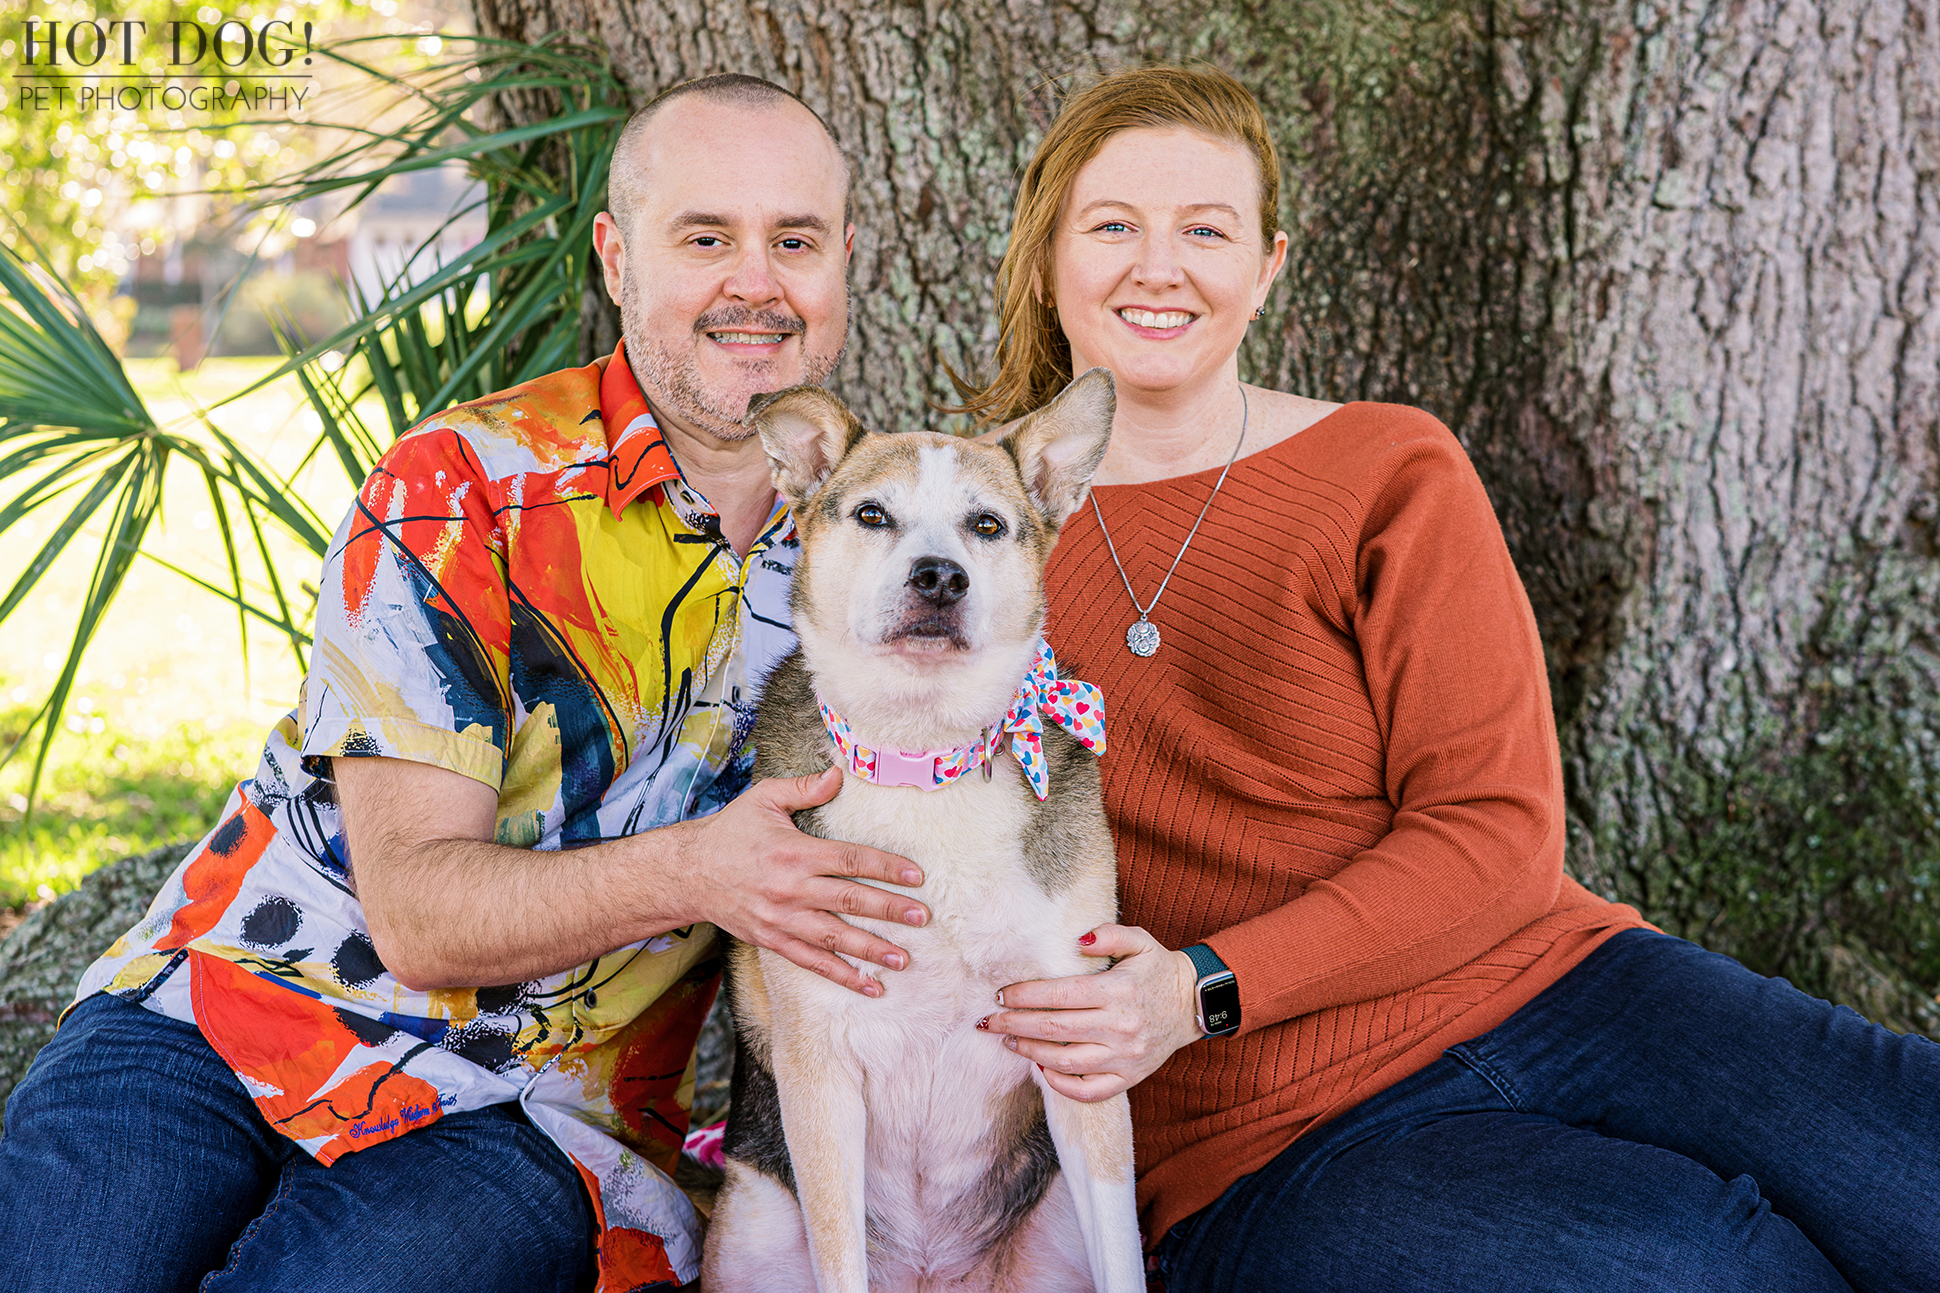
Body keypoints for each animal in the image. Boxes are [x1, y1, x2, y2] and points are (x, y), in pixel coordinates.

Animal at [702, 366, 1140, 1289]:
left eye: (988, 524)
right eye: (873, 514)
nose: (939, 577)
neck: (923, 756)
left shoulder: (1076, 1042)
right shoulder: (820, 1068)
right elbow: (840, 1260)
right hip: (755, 1216)